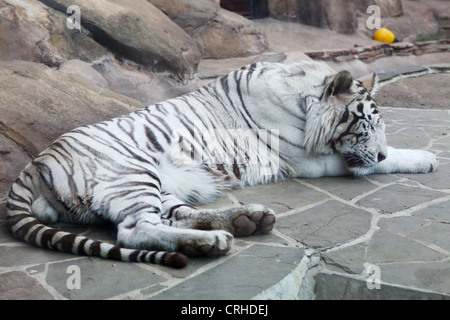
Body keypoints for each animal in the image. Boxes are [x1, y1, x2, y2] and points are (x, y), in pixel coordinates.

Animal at [6, 60, 436, 268]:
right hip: (131, 173)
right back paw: (214, 242)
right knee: (134, 230)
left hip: (156, 183)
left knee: (177, 215)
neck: (304, 97)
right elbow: (364, 163)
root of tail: (35, 163)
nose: (380, 152)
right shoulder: (305, 159)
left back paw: (247, 220)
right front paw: (425, 157)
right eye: (367, 124)